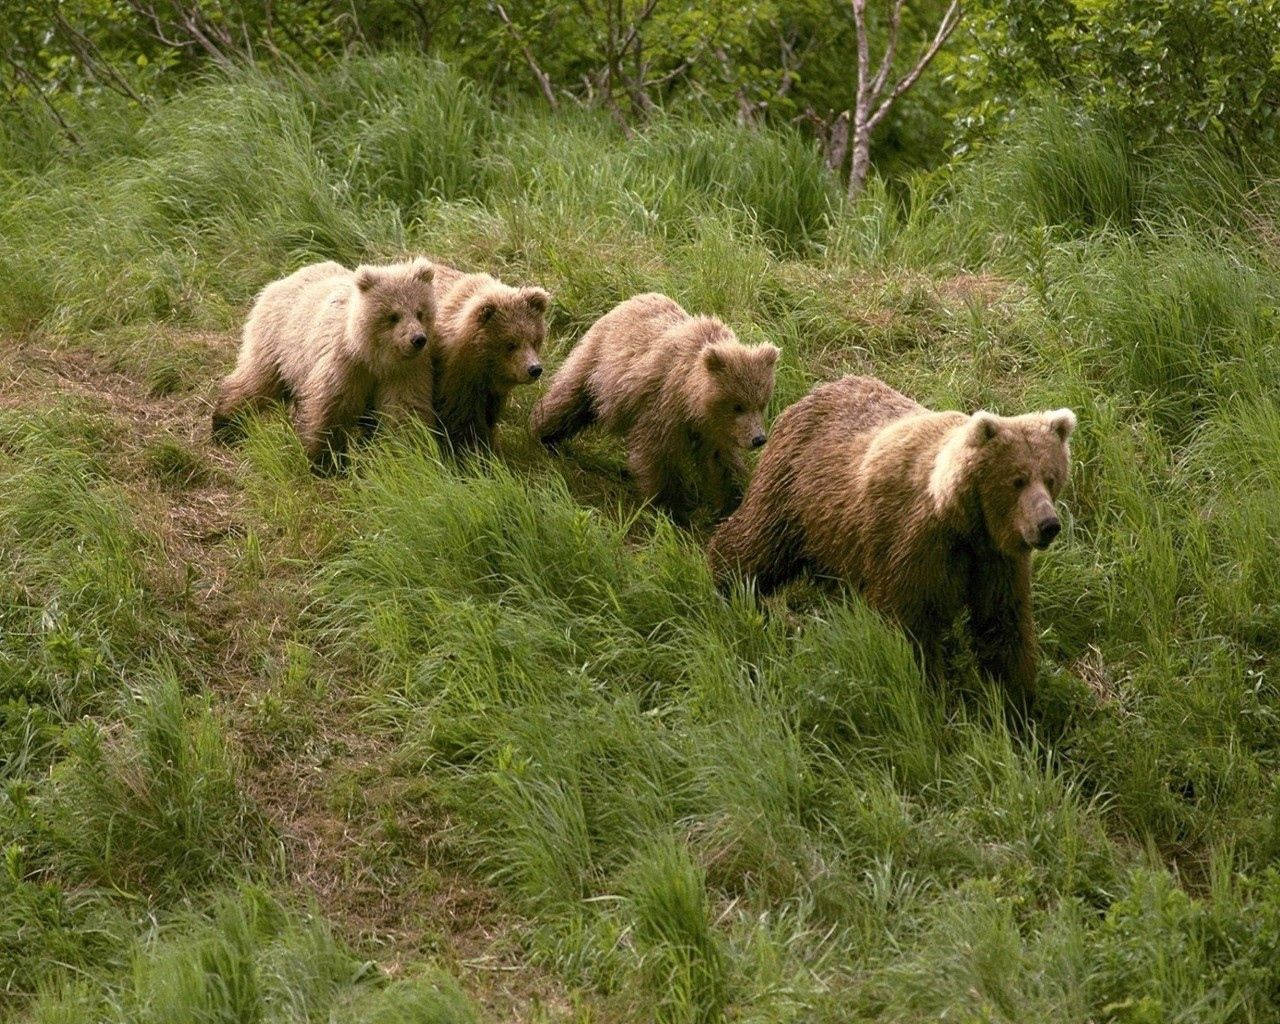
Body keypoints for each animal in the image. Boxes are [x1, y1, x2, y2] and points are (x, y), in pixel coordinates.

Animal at [212, 256, 437, 468]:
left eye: (420, 312)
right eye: (393, 315)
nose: (418, 339)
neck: (373, 357)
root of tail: (282, 280)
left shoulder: (404, 372)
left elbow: (404, 410)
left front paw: (409, 453)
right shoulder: (343, 364)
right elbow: (330, 408)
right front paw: (326, 463)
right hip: (277, 343)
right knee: (256, 382)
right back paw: (224, 425)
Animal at [430, 262, 550, 453]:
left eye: (534, 340)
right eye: (511, 344)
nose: (534, 369)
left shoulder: (492, 391)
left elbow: (489, 416)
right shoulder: (457, 377)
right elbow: (462, 417)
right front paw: (470, 448)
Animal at [529, 294, 778, 519]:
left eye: (761, 404)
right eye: (738, 406)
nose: (758, 439)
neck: (693, 402)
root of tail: (629, 300)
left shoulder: (714, 431)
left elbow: (721, 463)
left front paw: (731, 504)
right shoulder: (663, 405)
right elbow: (656, 455)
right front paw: (671, 508)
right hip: (598, 363)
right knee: (570, 396)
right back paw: (543, 434)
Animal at [706, 376, 1075, 696]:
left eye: (1050, 477)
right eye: (1017, 480)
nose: (1048, 524)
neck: (962, 523)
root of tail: (811, 393)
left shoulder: (993, 561)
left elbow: (1003, 626)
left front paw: (1016, 701)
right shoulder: (910, 545)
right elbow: (909, 626)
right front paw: (929, 689)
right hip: (793, 495)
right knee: (756, 544)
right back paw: (728, 583)